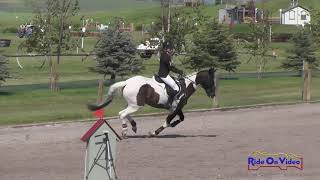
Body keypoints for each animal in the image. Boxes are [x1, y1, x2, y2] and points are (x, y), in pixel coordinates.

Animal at [87, 68, 215, 137]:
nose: (212, 94)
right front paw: (154, 132)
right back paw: (124, 131)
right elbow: (167, 122)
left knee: (125, 113)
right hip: (136, 105)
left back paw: (134, 126)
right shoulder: (174, 108)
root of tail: (127, 82)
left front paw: (173, 124)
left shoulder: (178, 108)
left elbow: (181, 118)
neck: (185, 86)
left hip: (132, 104)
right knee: (122, 114)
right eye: (210, 80)